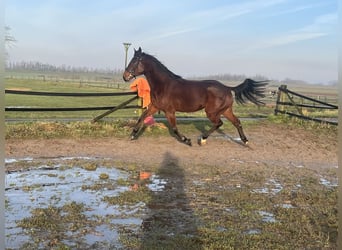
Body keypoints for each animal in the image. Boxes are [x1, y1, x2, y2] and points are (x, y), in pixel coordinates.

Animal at [123, 47, 268, 146]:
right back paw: (245, 141)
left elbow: (174, 128)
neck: (163, 85)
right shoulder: (155, 106)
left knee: (219, 123)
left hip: (212, 112)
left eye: (135, 61)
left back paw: (202, 139)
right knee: (237, 122)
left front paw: (187, 140)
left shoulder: (169, 111)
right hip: (226, 110)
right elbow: (142, 117)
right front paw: (132, 135)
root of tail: (227, 88)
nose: (125, 76)